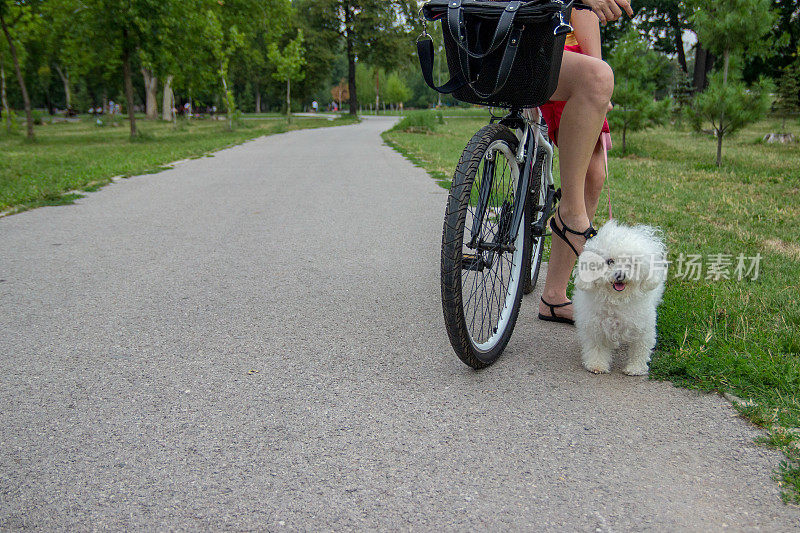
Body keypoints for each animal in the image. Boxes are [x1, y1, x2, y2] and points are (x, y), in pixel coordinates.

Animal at [572, 220, 664, 374]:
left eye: (631, 263)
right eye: (610, 261)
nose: (620, 275)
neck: (616, 299)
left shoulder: (643, 328)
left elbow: (639, 349)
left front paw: (635, 368)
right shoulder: (596, 326)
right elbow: (597, 347)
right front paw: (597, 365)